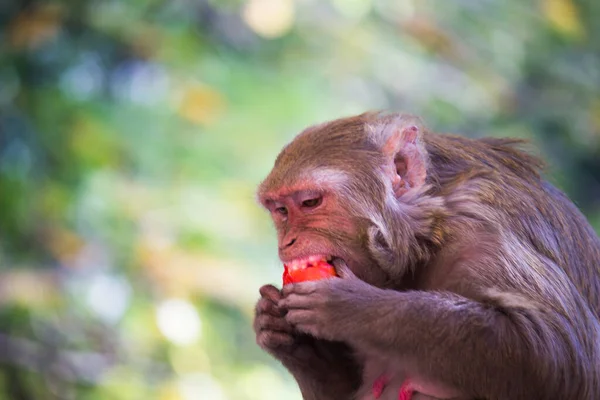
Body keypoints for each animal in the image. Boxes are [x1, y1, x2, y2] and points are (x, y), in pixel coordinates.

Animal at [252, 111, 600, 400]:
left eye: (310, 202)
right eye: (280, 210)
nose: (287, 242)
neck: (427, 234)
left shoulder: (481, 225)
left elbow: (558, 353)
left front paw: (350, 306)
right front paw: (293, 339)